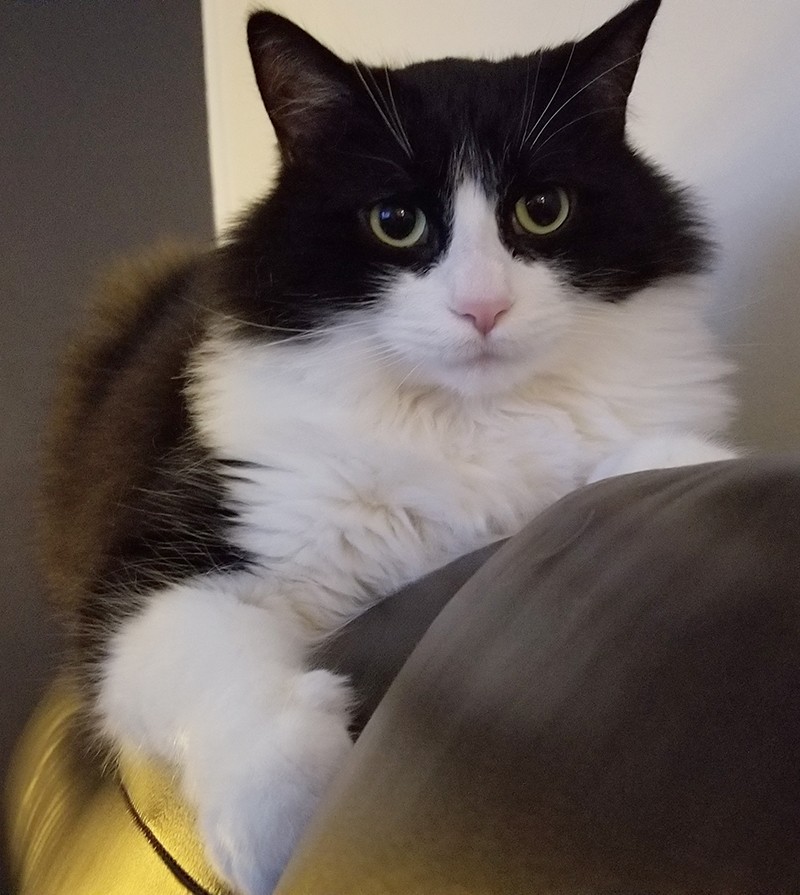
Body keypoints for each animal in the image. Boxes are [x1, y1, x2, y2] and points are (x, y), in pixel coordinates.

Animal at [39, 0, 736, 892]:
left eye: (543, 208)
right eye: (396, 222)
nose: (483, 307)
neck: (463, 419)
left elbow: (639, 462)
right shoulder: (150, 576)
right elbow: (224, 671)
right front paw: (284, 827)